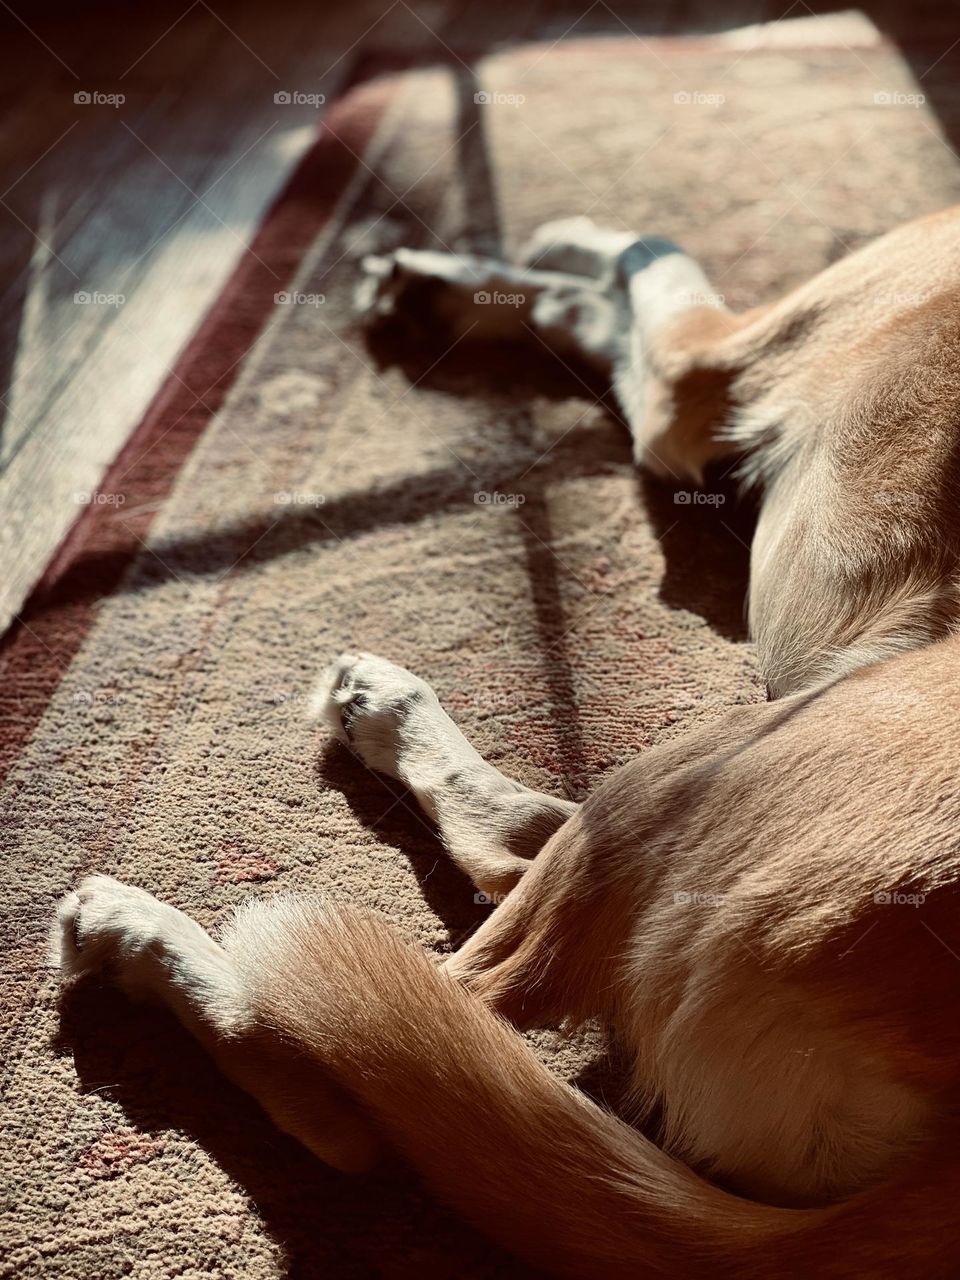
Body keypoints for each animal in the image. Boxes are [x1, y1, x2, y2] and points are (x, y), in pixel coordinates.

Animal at [52, 215, 960, 1274]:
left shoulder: (697, 381)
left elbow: (645, 262)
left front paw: (520, 262)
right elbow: (605, 292)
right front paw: (472, 282)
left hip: (695, 787)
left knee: (369, 1071)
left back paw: (148, 931)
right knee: (512, 862)